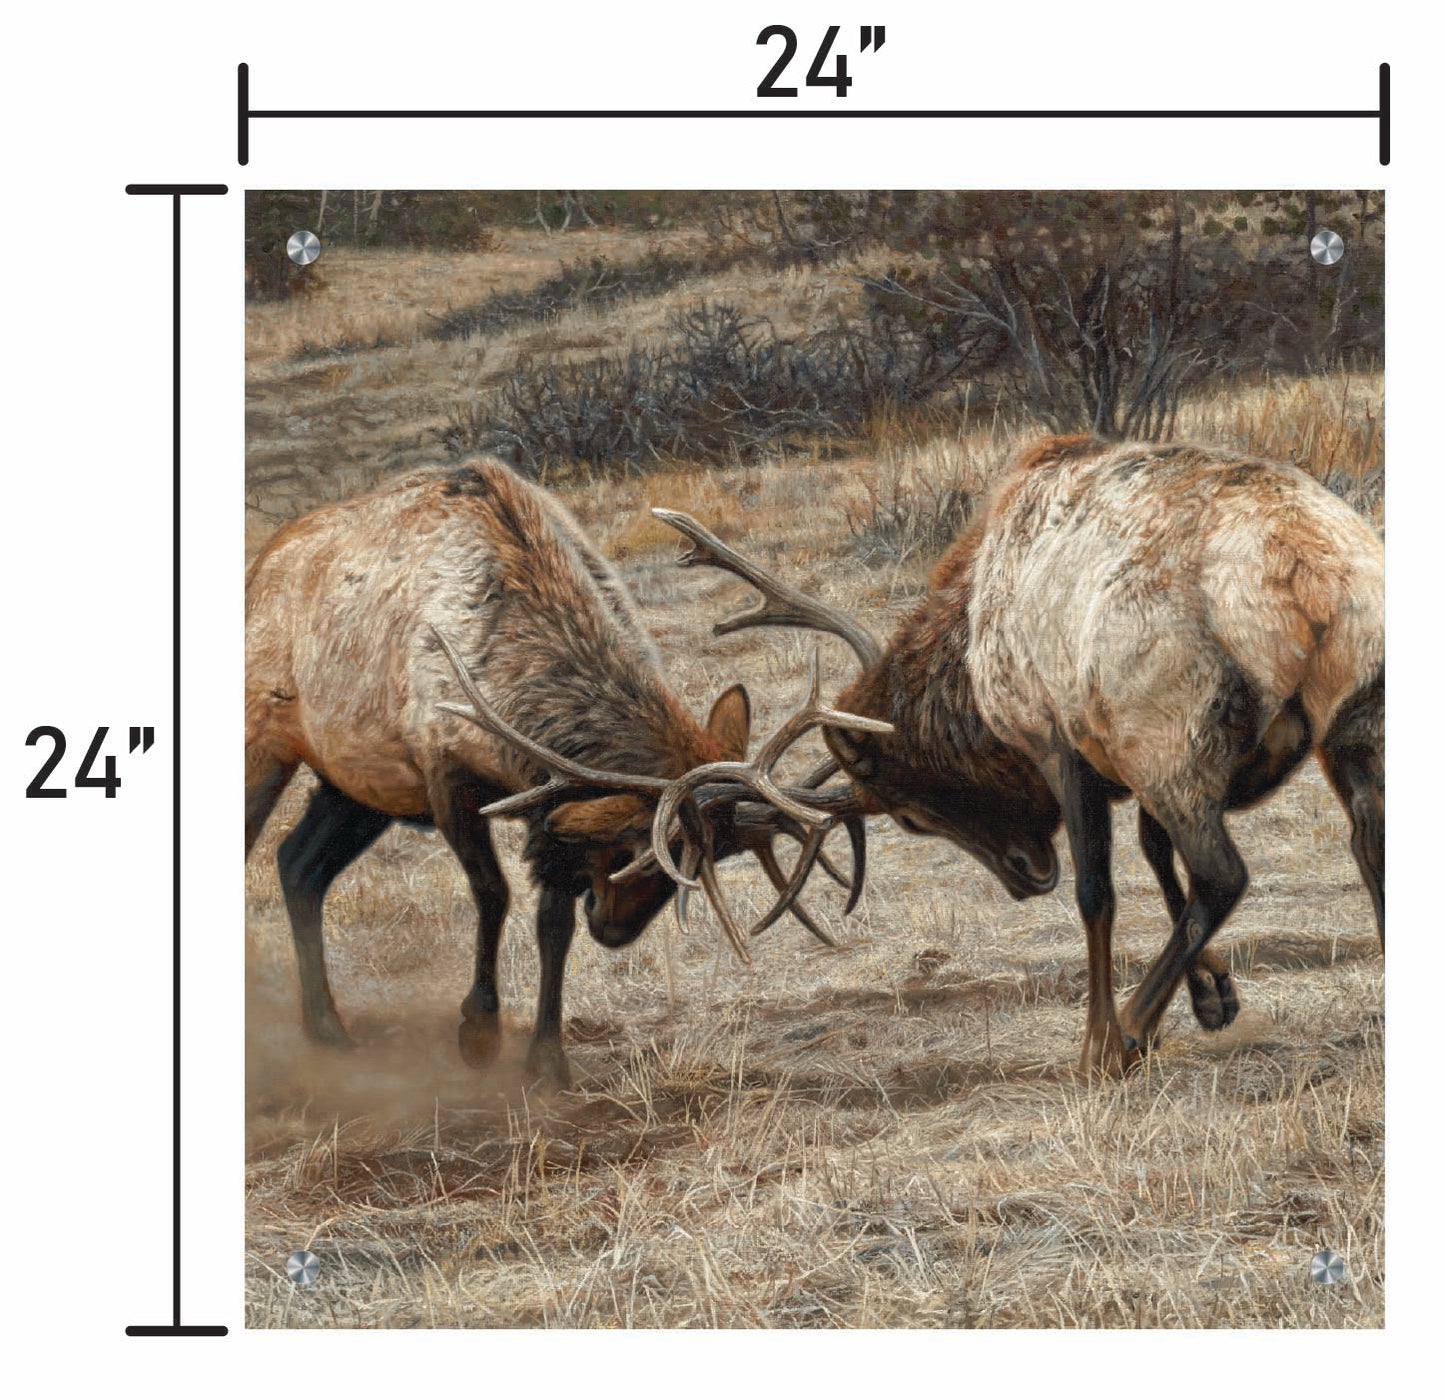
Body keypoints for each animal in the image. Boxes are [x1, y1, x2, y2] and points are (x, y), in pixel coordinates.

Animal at [245, 459, 885, 1086]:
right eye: (640, 847)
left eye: (708, 860)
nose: (616, 931)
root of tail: (261, 563)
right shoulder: (443, 771)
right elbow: (493, 892)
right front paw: (478, 1031)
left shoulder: (542, 805)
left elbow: (553, 925)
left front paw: (548, 1060)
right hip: (267, 742)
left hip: (359, 787)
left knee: (298, 865)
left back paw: (327, 1029)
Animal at [651, 434, 1384, 1076]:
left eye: (911, 815)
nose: (1026, 876)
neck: (971, 662)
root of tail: (1313, 578)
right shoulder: (1121, 753)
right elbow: (1154, 856)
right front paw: (1212, 997)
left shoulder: (1066, 742)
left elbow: (1099, 893)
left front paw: (1103, 1040)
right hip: (1347, 722)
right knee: (1367, 841)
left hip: (1173, 727)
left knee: (1224, 875)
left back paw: (1127, 1032)